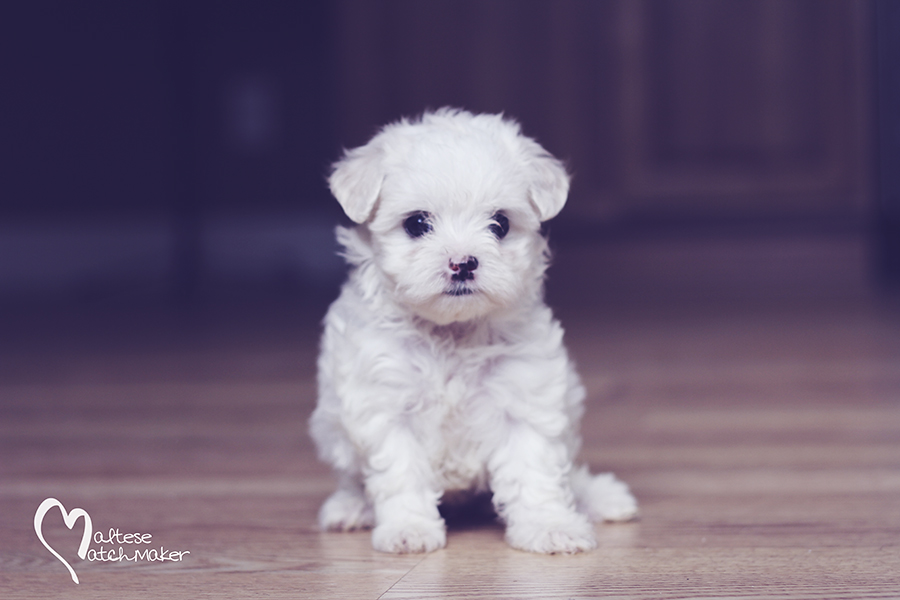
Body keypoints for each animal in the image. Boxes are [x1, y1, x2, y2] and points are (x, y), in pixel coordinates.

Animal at [312, 108, 636, 552]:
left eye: (499, 224)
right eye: (417, 223)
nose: (462, 263)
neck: (452, 333)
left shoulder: (524, 399)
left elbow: (535, 471)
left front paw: (549, 526)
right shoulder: (387, 406)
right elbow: (400, 472)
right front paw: (409, 529)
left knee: (571, 474)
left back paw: (599, 497)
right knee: (352, 479)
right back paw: (350, 507)